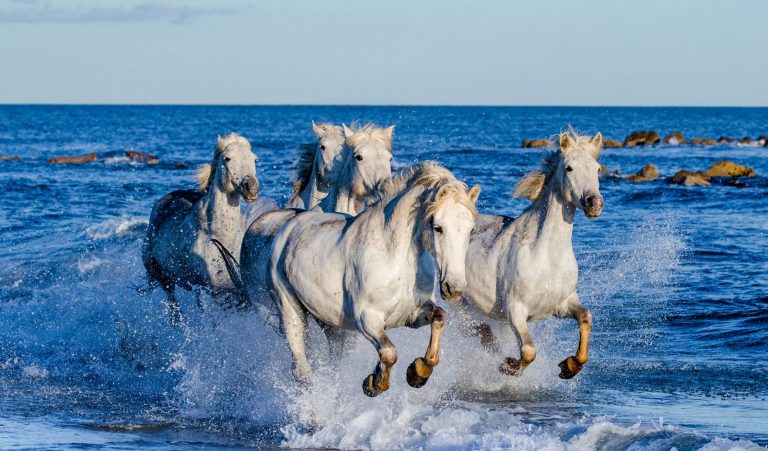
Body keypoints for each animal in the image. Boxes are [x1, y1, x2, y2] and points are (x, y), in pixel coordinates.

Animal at [144, 132, 260, 324]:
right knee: (173, 305)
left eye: (254, 159)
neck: (220, 237)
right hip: (163, 277)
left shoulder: (233, 289)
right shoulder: (209, 289)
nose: (251, 188)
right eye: (227, 158)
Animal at [268, 164, 476, 398]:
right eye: (438, 227)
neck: (396, 258)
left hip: (331, 324)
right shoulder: (367, 319)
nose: (454, 288)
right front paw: (374, 384)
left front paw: (418, 372)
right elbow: (389, 352)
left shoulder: (413, 315)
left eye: (471, 229)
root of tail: (286, 229)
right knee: (302, 369)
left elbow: (439, 318)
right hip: (291, 313)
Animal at [462, 132, 608, 382]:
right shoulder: (515, 311)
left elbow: (585, 317)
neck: (546, 257)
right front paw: (508, 366)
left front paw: (570, 366)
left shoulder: (563, 303)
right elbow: (529, 350)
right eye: (569, 167)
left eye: (597, 168)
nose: (594, 203)